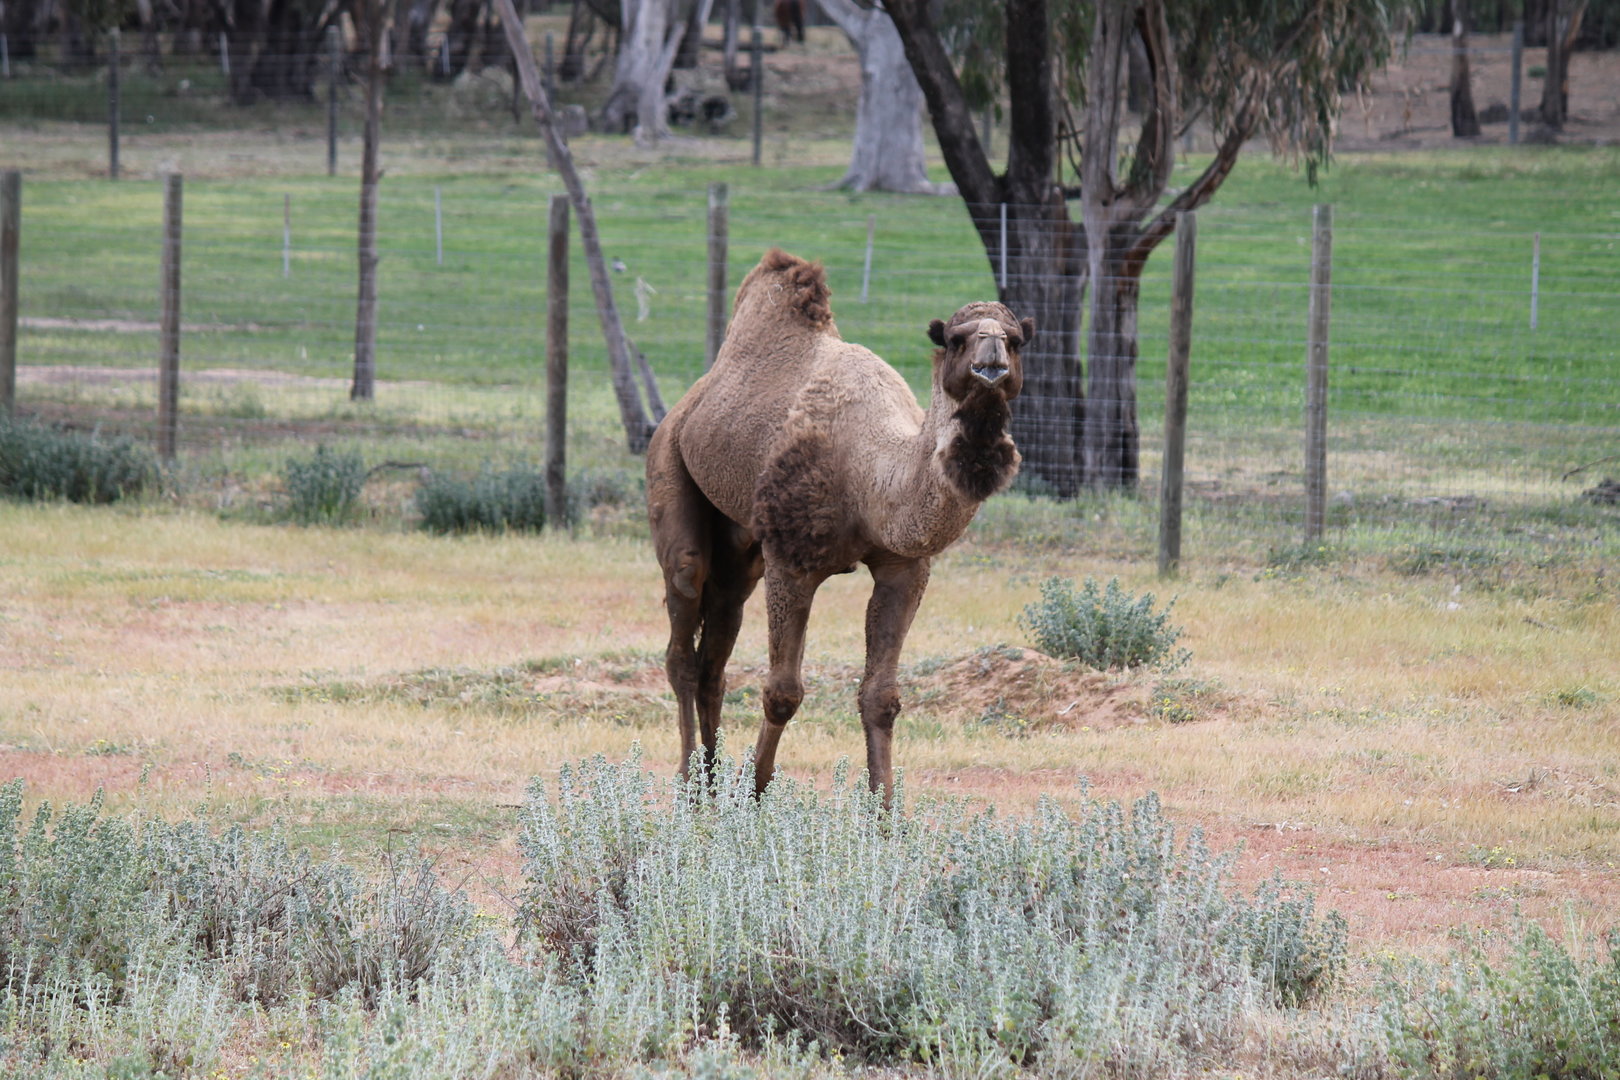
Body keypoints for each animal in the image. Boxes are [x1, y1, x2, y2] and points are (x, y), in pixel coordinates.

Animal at [646, 249, 1034, 803]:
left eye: (1017, 340)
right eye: (957, 338)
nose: (991, 361)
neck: (868, 472)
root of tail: (688, 402)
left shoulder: (904, 566)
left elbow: (881, 697)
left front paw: (885, 809)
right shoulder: (792, 560)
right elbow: (782, 691)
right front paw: (757, 792)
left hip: (741, 550)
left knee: (714, 654)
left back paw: (713, 781)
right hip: (670, 469)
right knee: (682, 626)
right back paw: (689, 786)